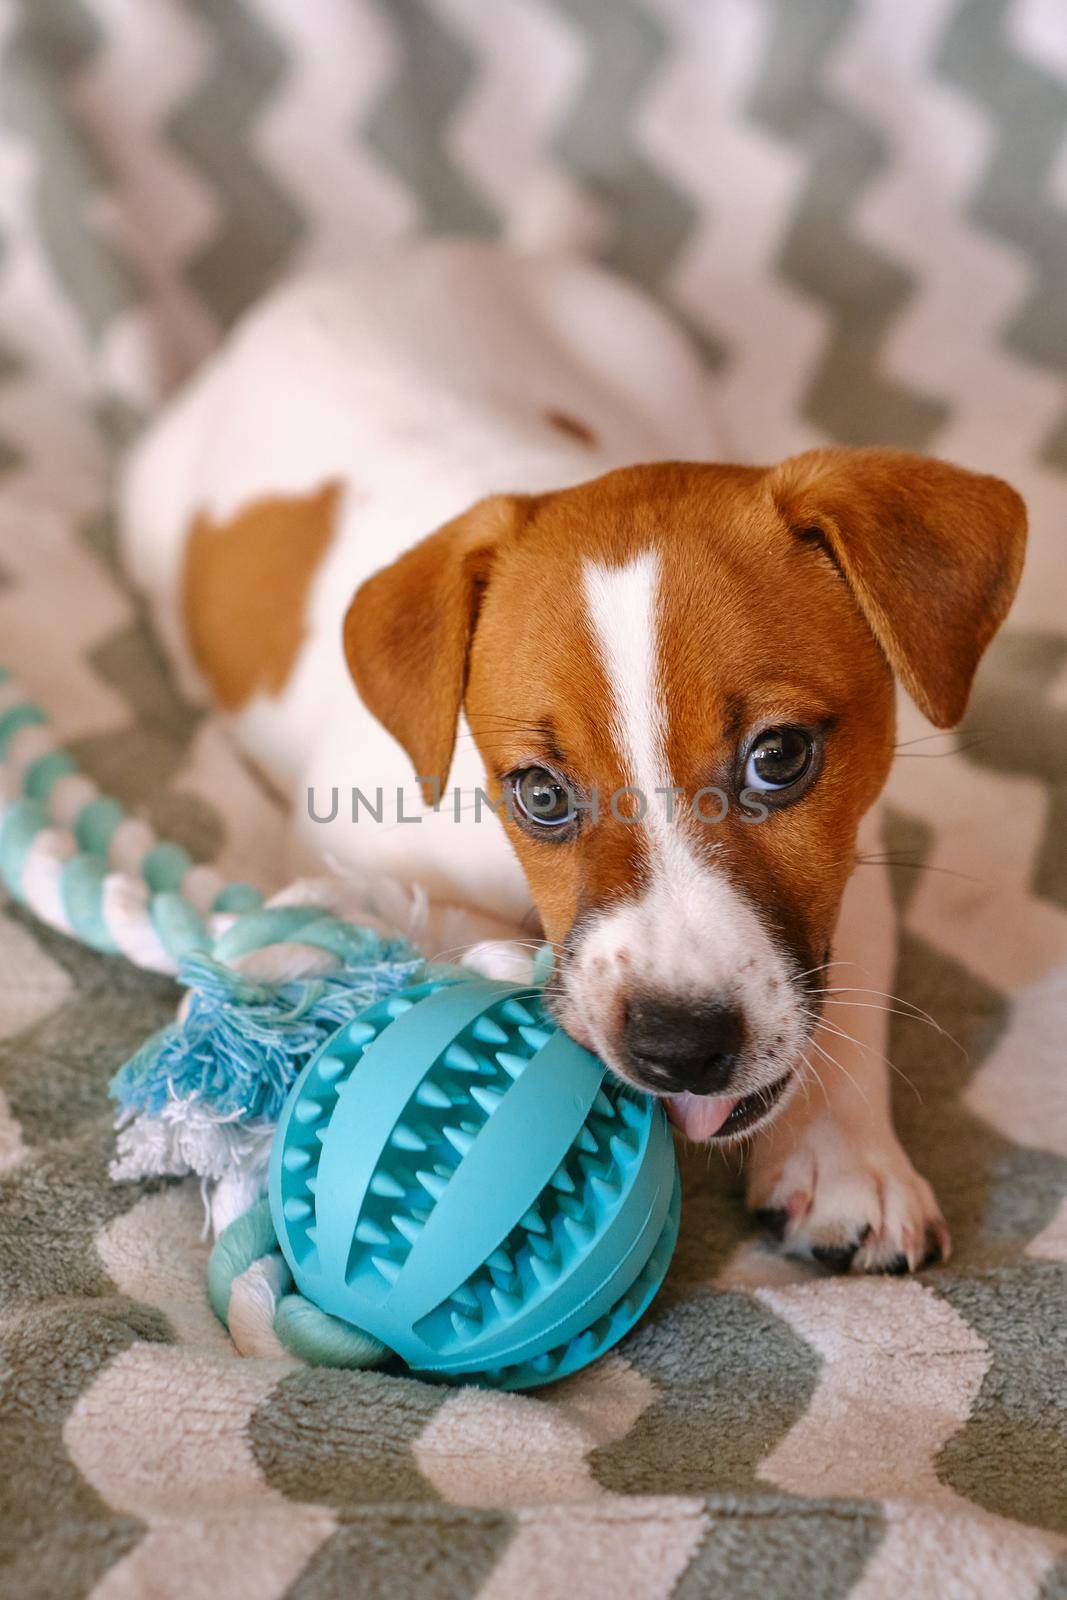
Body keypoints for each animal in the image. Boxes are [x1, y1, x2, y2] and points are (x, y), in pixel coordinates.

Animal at [120, 240, 1030, 1273]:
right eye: (541, 795)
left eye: (780, 757)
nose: (679, 1046)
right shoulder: (343, 841)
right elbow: (401, 918)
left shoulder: (853, 852)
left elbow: (848, 994)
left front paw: (844, 1162)